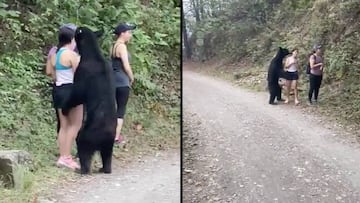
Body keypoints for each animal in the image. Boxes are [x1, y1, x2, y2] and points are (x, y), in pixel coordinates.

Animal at [62, 26, 116, 174]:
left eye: (77, 30)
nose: (76, 27)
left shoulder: (82, 71)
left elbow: (77, 94)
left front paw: (65, 108)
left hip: (88, 134)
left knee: (83, 146)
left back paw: (83, 169)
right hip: (109, 143)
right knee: (107, 154)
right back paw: (105, 168)